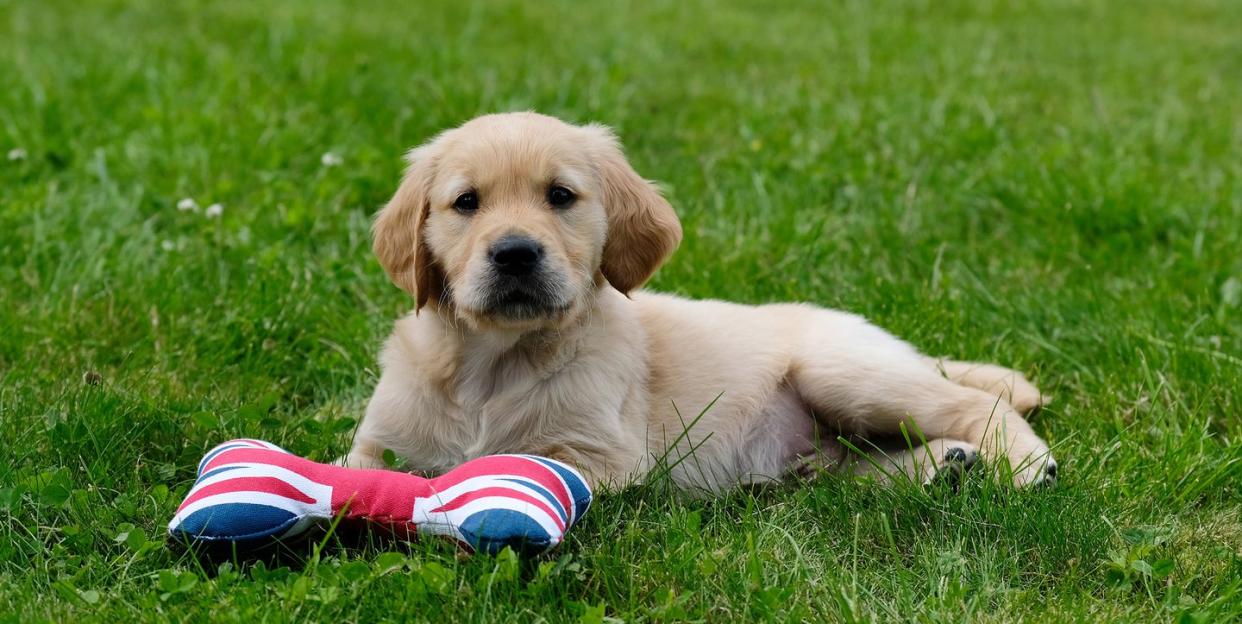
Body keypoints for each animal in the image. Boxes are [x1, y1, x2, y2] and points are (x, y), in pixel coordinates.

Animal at [347, 111, 1058, 492]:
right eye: (466, 203)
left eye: (561, 196)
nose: (516, 253)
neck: (493, 365)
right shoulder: (376, 439)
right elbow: (366, 469)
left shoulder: (596, 455)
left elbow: (501, 467)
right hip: (819, 448)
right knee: (849, 469)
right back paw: (947, 466)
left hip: (845, 373)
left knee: (975, 403)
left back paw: (1026, 465)